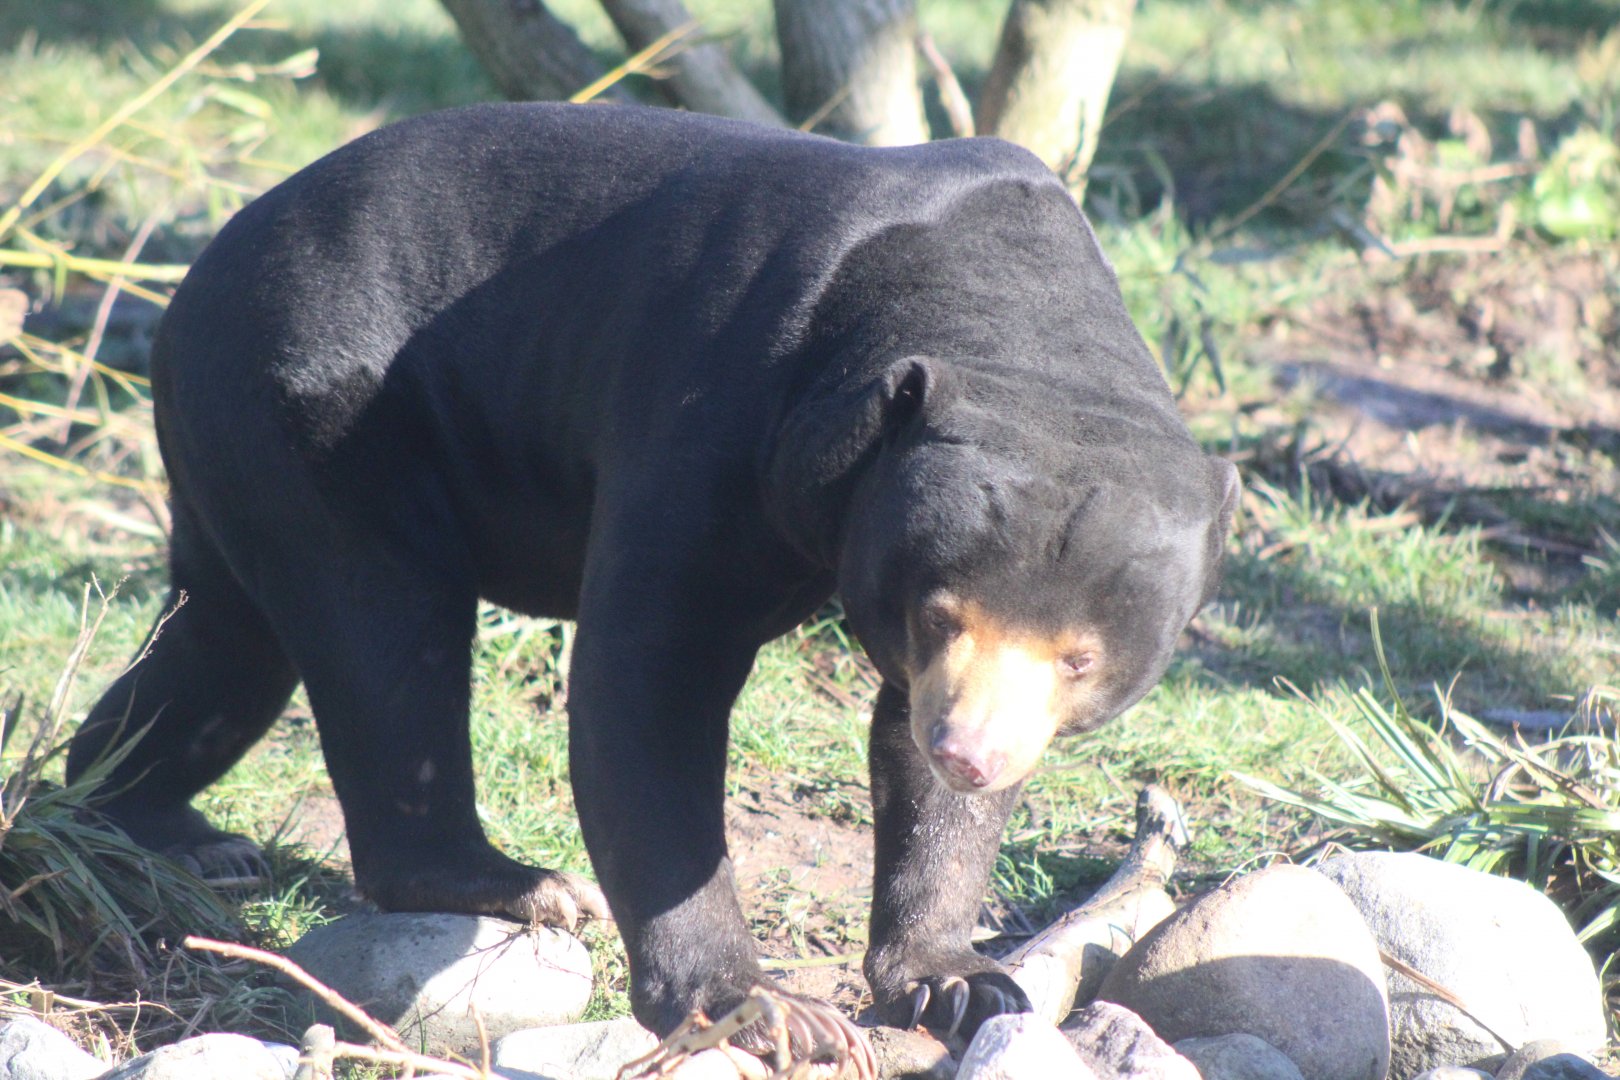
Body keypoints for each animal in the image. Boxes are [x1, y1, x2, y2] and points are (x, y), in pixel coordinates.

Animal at [67, 102, 1238, 1066]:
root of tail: (193, 279)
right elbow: (648, 678)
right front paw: (764, 1011)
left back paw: (158, 823)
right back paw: (518, 885)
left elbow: (910, 768)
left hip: (234, 444)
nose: (973, 751)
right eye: (938, 610)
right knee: (385, 636)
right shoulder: (724, 411)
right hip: (318, 407)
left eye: (1078, 657)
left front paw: (960, 980)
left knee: (225, 638)